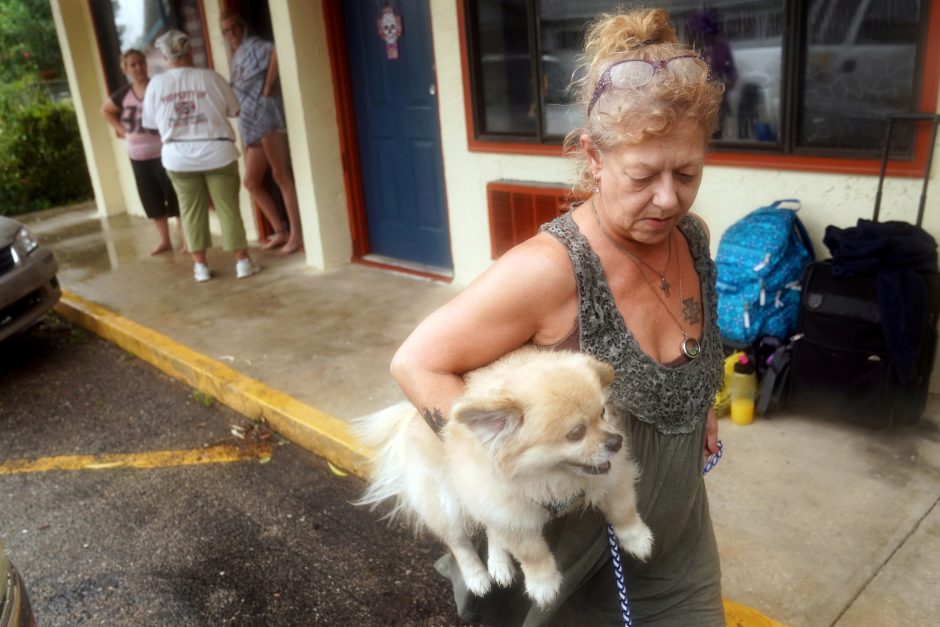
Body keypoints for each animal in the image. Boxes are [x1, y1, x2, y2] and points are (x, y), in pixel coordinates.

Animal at [354, 348, 652, 608]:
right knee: (459, 542)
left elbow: (623, 509)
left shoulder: (615, 476)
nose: (616, 441)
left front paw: (636, 539)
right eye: (576, 433)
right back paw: (477, 576)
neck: (552, 479)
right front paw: (543, 585)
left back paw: (498, 563)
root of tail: (411, 418)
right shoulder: (512, 514)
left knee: (491, 530)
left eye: (603, 412)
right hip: (448, 504)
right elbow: (533, 554)